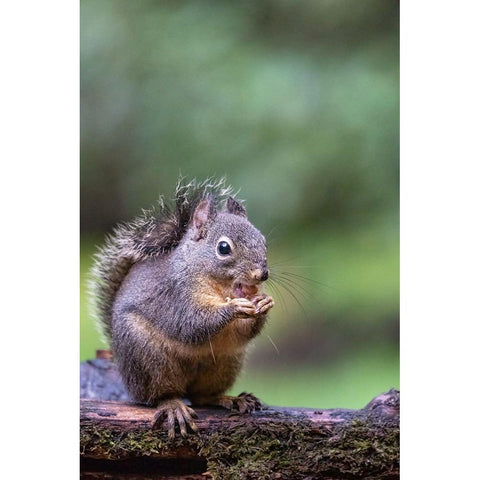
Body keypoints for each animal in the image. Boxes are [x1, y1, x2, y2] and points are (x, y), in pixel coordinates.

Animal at [89, 178, 274, 436]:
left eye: (263, 241)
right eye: (223, 248)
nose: (262, 274)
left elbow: (243, 332)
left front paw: (263, 303)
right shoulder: (175, 296)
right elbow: (191, 324)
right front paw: (234, 307)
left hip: (225, 362)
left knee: (201, 396)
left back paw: (231, 399)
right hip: (148, 359)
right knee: (160, 395)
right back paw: (173, 406)